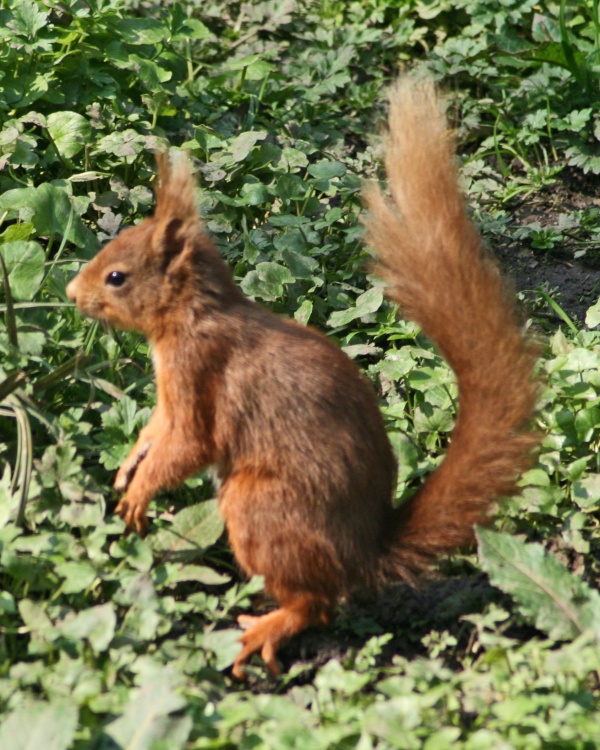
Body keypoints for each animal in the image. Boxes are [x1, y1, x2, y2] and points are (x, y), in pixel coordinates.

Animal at [66, 77, 539, 679]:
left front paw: (141, 492)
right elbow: (156, 430)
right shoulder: (169, 399)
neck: (192, 313)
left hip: (260, 508)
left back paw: (265, 629)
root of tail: (363, 554)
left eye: (117, 277)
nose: (71, 295)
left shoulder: (199, 368)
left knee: (316, 604)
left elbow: (190, 443)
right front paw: (130, 467)